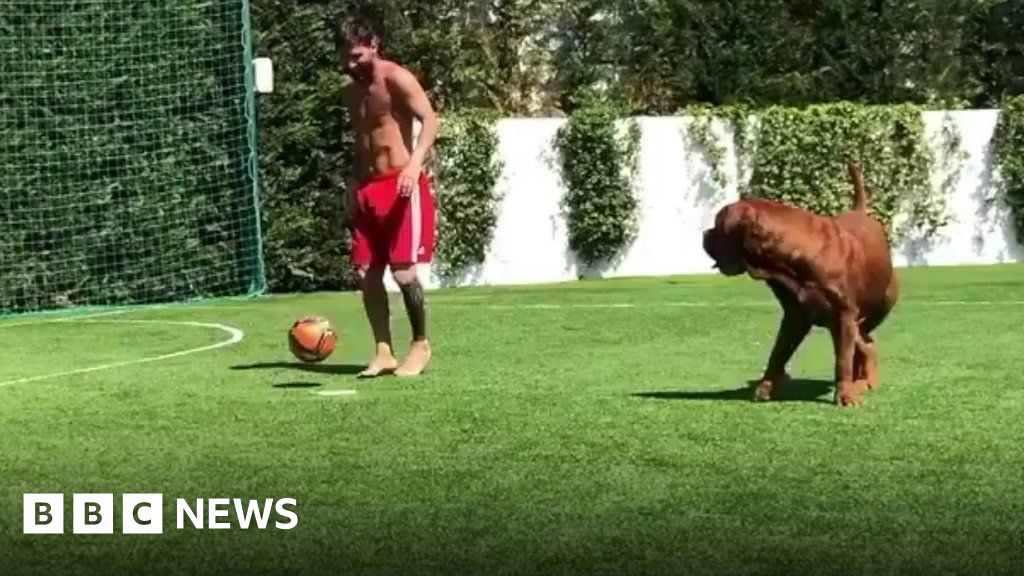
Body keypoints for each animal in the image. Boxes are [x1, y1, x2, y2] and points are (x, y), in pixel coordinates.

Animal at [704, 163, 897, 405]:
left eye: (717, 226)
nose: (705, 233)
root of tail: (861, 211)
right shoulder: (795, 316)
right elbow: (778, 353)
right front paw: (766, 387)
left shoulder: (843, 313)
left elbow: (843, 358)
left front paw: (845, 394)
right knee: (864, 342)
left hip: (875, 306)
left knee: (864, 341)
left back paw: (864, 381)